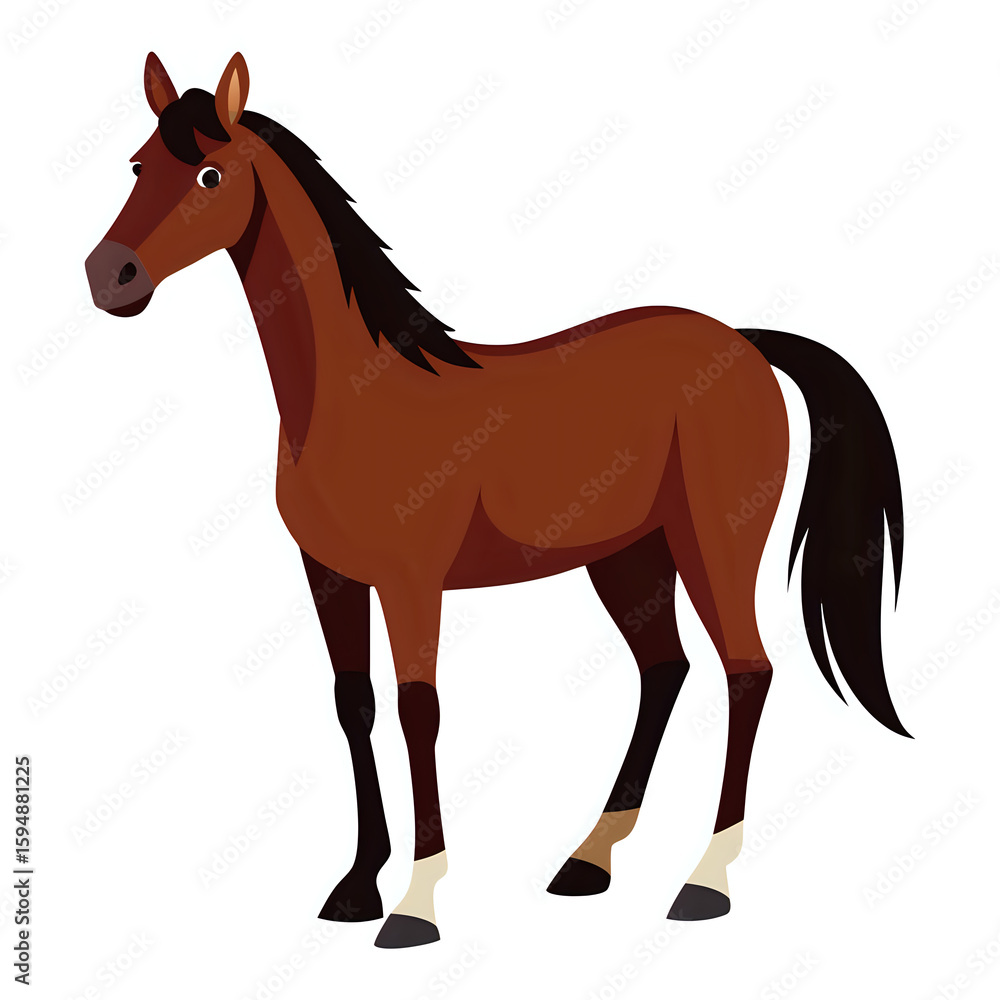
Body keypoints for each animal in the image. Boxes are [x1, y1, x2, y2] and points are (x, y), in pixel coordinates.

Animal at [85, 52, 908, 949]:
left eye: (210, 174)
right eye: (137, 165)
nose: (109, 276)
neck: (357, 397)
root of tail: (745, 343)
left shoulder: (412, 583)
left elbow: (418, 710)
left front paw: (416, 903)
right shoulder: (328, 574)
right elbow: (353, 705)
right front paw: (356, 886)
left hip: (712, 541)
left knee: (746, 672)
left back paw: (704, 880)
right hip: (629, 555)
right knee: (666, 669)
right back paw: (589, 860)